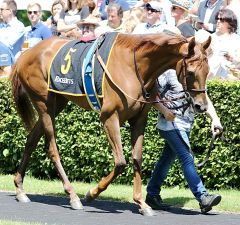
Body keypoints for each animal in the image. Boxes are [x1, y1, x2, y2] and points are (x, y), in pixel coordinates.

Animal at [11, 32, 210, 215]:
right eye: (190, 72)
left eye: (207, 71)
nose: (201, 105)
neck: (133, 66)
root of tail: (25, 53)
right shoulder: (109, 117)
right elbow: (120, 162)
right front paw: (91, 193)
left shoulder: (139, 120)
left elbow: (137, 158)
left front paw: (141, 202)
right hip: (43, 103)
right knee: (51, 148)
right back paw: (73, 196)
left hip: (57, 102)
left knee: (31, 139)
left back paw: (20, 189)